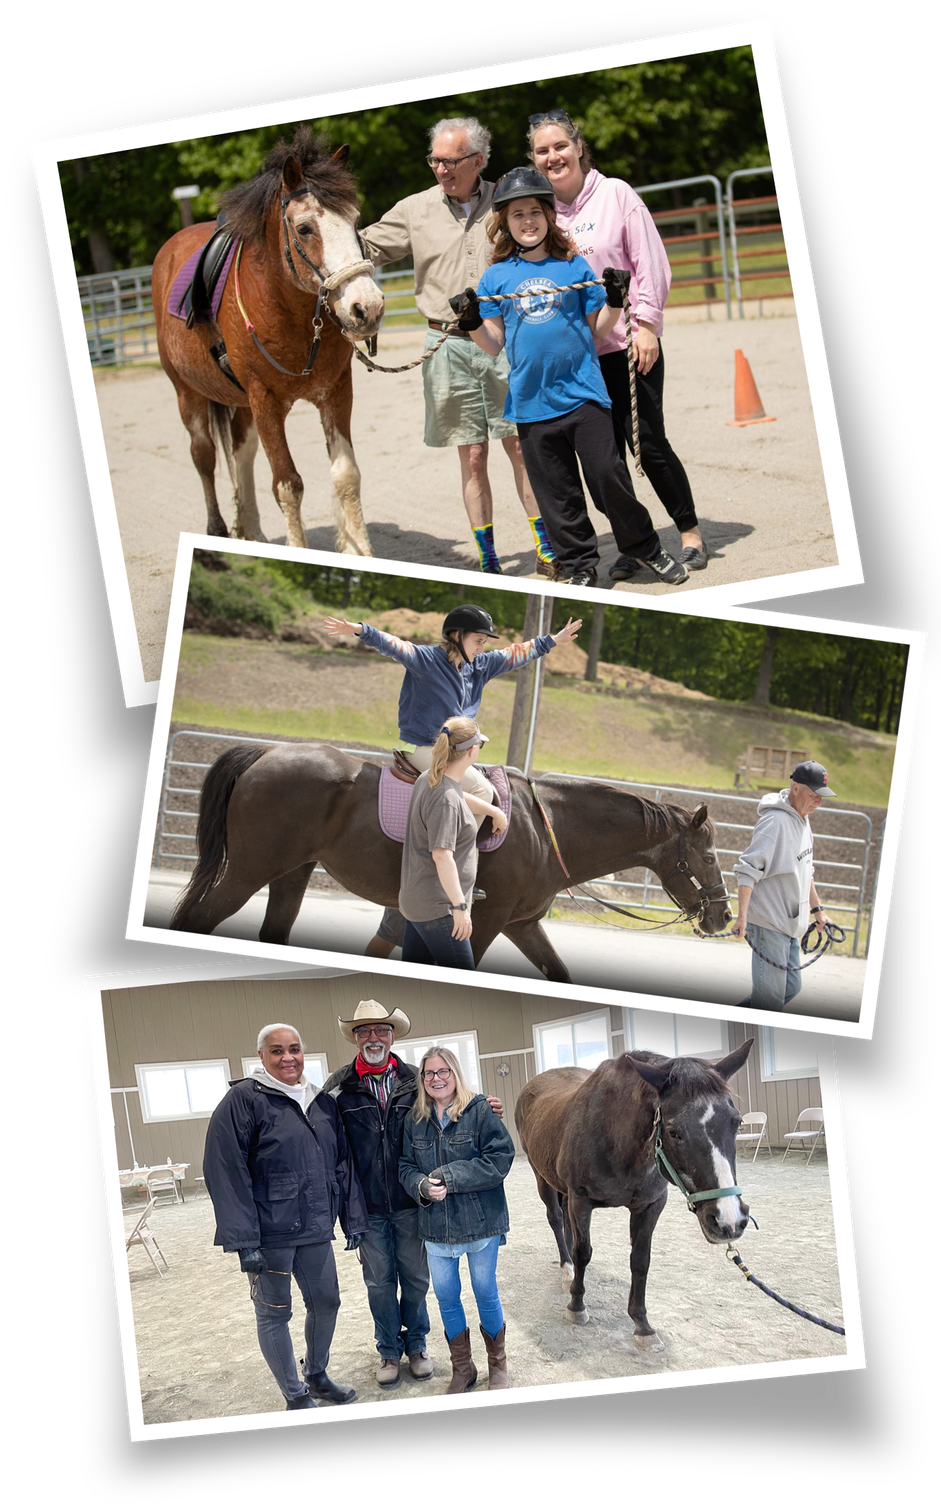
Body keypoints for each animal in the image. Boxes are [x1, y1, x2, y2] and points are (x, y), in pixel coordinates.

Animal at [151, 128, 383, 555]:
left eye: (355, 220)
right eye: (305, 228)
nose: (367, 307)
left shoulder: (335, 391)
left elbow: (346, 475)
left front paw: (360, 550)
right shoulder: (265, 400)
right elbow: (287, 484)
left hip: (242, 403)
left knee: (241, 450)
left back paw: (251, 531)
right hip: (189, 394)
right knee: (204, 456)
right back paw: (217, 532)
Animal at [167, 739, 737, 978]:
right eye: (710, 857)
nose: (723, 917)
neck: (546, 829)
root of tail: (266, 753)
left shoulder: (522, 925)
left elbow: (559, 973)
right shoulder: (484, 921)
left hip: (290, 875)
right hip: (249, 871)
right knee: (198, 916)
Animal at [519, 1038, 755, 1346]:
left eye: (737, 1123)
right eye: (673, 1131)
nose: (730, 1220)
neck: (615, 1135)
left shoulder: (650, 1205)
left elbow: (640, 1261)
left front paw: (642, 1324)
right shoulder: (581, 1200)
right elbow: (583, 1251)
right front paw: (577, 1306)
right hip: (542, 1179)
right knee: (557, 1221)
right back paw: (567, 1269)